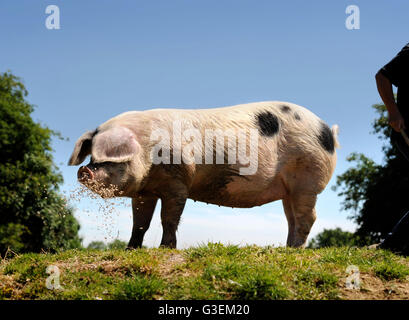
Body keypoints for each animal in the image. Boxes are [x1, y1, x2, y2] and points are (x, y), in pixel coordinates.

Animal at [69, 101, 338, 249]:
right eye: (92, 157)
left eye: (110, 159)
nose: (84, 170)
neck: (148, 149)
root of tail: (328, 131)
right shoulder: (145, 191)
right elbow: (140, 223)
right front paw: (130, 250)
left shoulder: (178, 181)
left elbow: (168, 219)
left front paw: (166, 249)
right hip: (289, 190)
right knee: (291, 218)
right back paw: (286, 249)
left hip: (308, 179)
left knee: (308, 217)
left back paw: (295, 249)